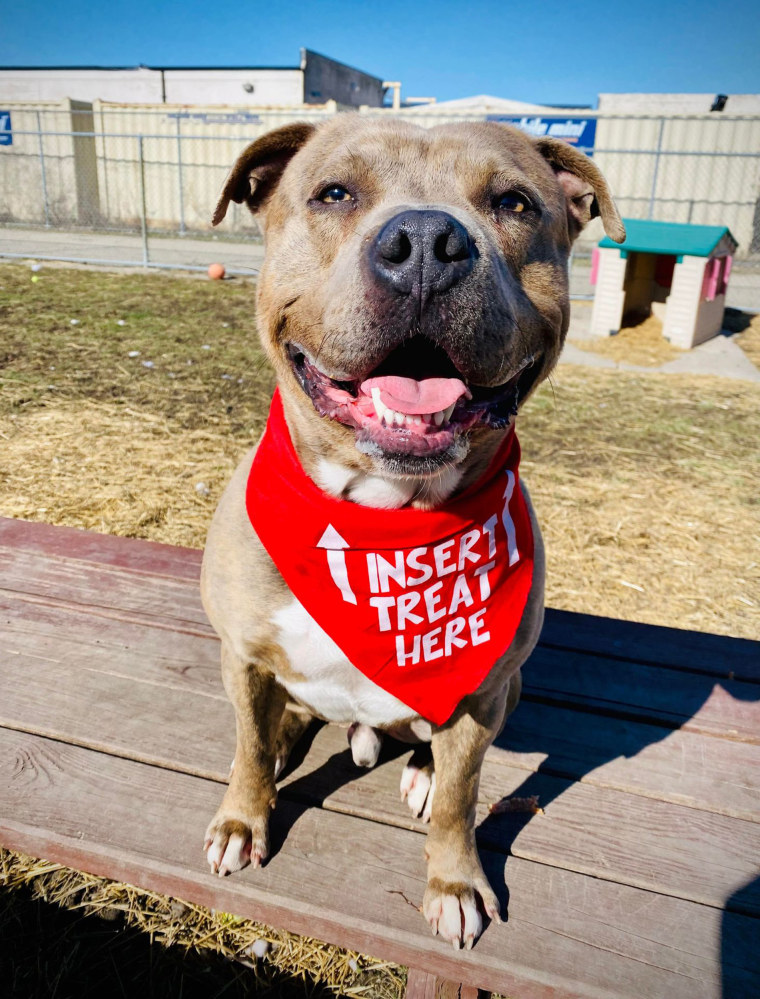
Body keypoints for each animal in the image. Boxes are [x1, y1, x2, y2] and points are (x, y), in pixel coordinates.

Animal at [202, 113, 624, 948]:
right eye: (333, 193)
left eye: (514, 203)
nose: (427, 241)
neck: (377, 519)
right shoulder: (242, 654)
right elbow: (246, 749)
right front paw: (242, 818)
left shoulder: (483, 691)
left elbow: (464, 796)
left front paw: (455, 881)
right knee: (278, 723)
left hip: (504, 686)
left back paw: (417, 769)